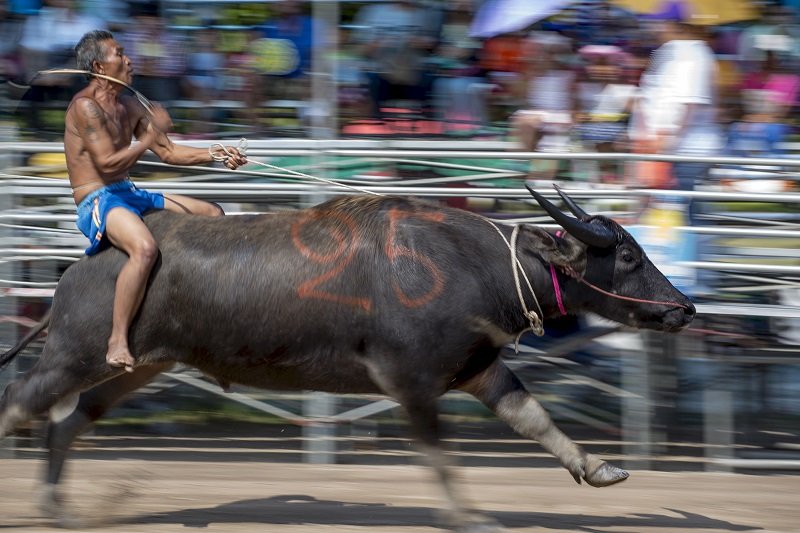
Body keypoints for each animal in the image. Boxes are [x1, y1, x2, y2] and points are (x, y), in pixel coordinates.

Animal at [1, 185, 692, 528]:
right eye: (627, 255)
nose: (684, 308)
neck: (471, 264)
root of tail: (80, 264)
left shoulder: (477, 368)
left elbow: (534, 418)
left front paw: (599, 468)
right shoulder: (413, 382)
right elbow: (441, 457)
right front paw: (469, 516)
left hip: (137, 365)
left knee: (70, 421)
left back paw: (57, 507)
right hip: (73, 355)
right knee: (18, 402)